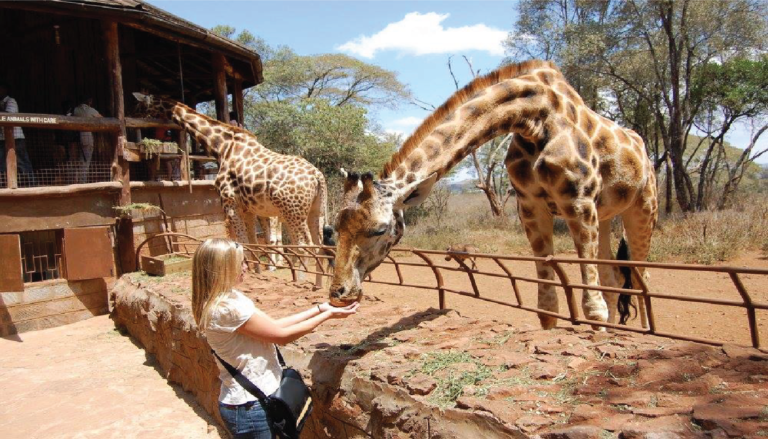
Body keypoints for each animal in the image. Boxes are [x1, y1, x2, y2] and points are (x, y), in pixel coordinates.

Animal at [131, 93, 329, 285]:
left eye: (140, 105)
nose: (135, 124)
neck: (222, 147)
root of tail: (317, 176)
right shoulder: (248, 209)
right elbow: (252, 242)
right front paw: (256, 271)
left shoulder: (229, 204)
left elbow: (242, 242)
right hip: (315, 210)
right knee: (319, 244)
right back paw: (318, 284)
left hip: (292, 212)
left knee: (304, 245)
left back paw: (301, 282)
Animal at [327, 60, 657, 330]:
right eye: (334, 228)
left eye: (379, 229)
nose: (338, 292)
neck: (534, 118)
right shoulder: (530, 206)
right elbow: (547, 306)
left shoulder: (578, 201)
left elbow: (593, 305)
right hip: (606, 215)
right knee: (614, 277)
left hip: (642, 208)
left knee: (642, 277)